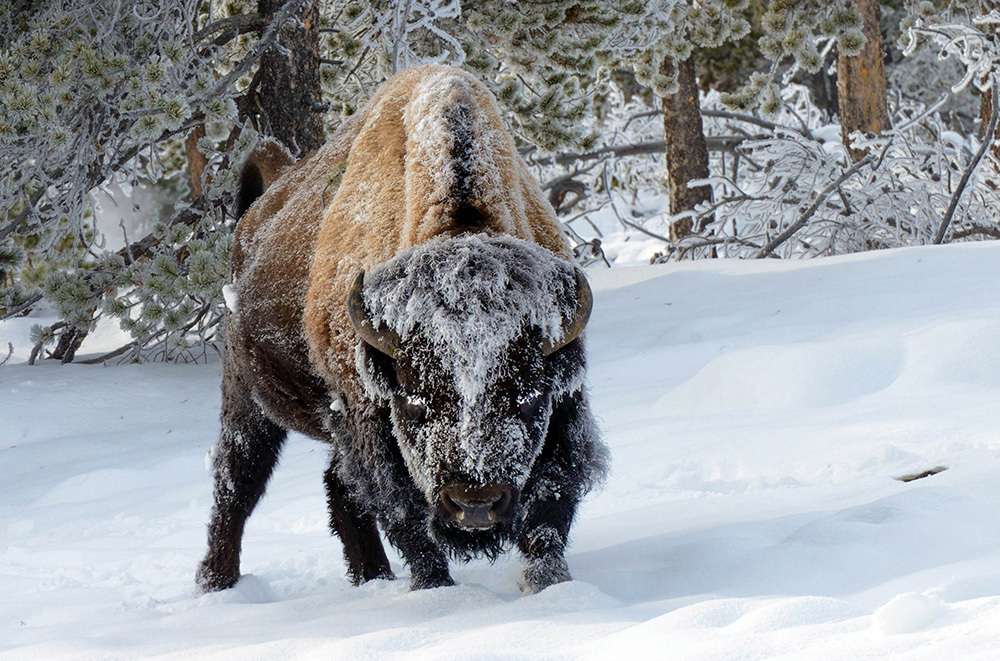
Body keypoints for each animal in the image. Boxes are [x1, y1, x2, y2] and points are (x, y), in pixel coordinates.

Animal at [197, 65, 608, 592]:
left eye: (531, 398)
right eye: (414, 401)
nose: (475, 505)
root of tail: (257, 213)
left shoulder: (564, 406)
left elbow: (548, 515)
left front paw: (552, 586)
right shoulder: (370, 423)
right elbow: (409, 522)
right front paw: (436, 591)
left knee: (337, 489)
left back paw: (373, 577)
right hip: (247, 400)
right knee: (237, 483)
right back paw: (217, 582)